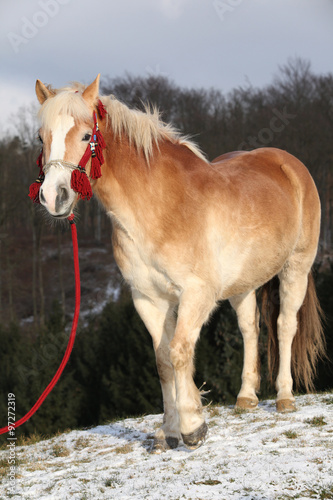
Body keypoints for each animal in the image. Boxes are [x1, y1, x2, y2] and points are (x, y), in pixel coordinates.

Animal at [32, 75, 322, 454]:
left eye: (84, 136)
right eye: (42, 137)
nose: (54, 197)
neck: (161, 207)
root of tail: (288, 163)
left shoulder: (196, 295)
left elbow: (181, 352)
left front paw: (193, 427)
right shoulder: (148, 299)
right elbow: (163, 361)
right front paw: (169, 431)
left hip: (295, 268)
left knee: (286, 325)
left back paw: (285, 397)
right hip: (243, 285)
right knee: (250, 328)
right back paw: (246, 398)